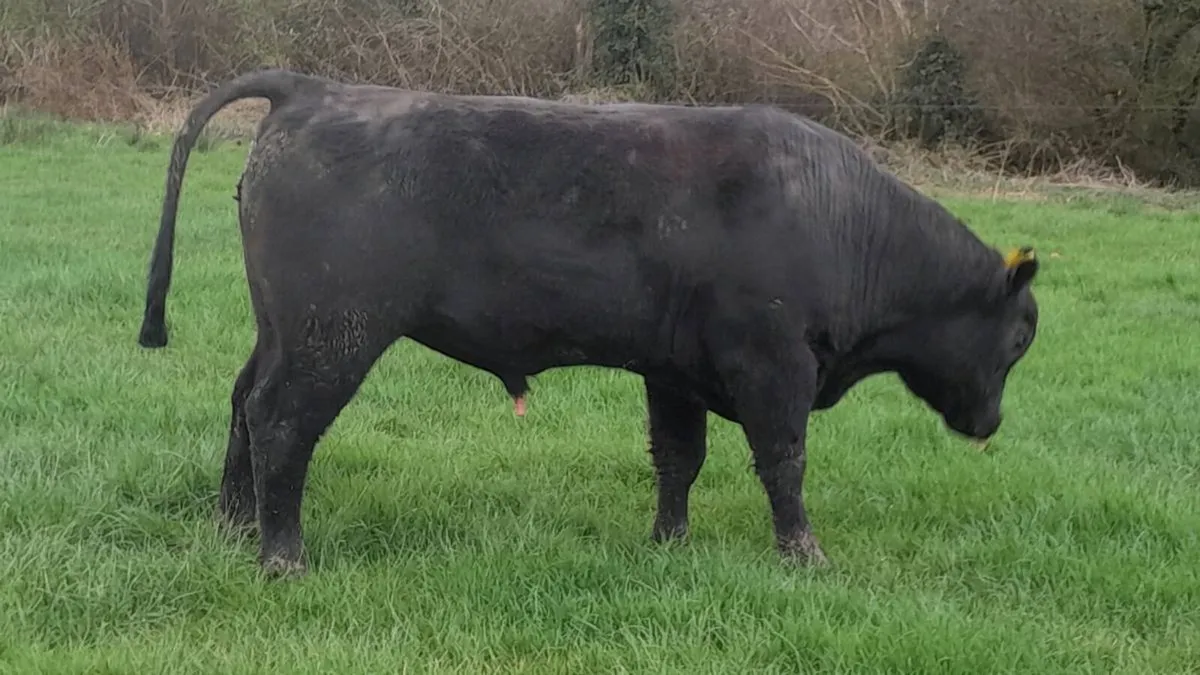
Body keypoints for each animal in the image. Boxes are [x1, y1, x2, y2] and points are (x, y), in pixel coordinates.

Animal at [137, 69, 1040, 578]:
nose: (993, 423)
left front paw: (669, 544)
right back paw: (282, 556)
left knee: (242, 404)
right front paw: (805, 554)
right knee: (281, 421)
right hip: (333, 334)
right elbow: (783, 462)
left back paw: (234, 523)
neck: (835, 215)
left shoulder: (675, 371)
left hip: (284, 329)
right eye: (1021, 337)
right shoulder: (774, 367)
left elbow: (679, 458)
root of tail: (315, 89)